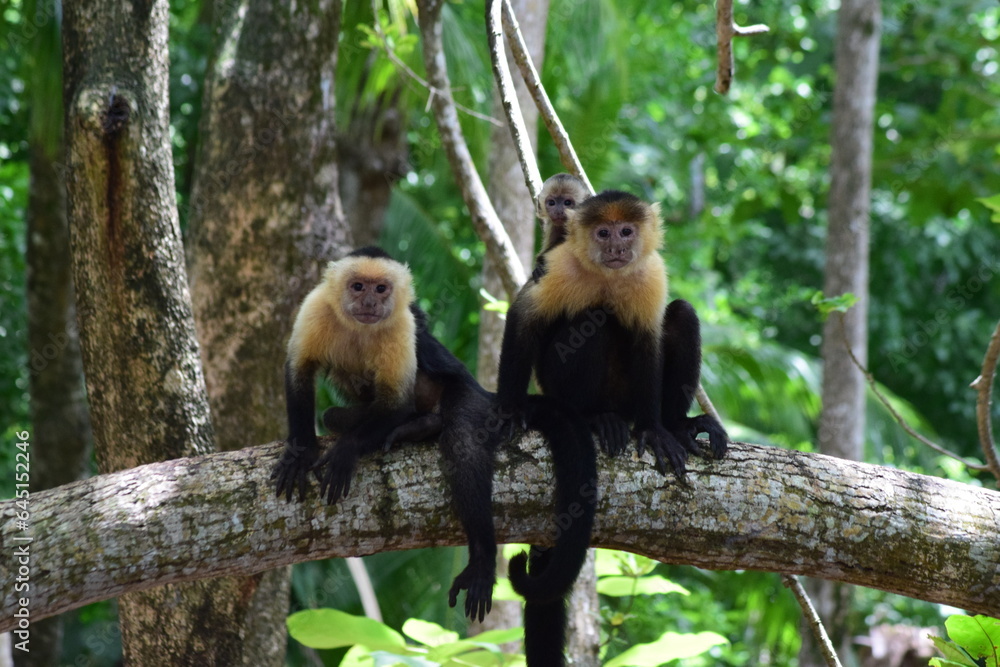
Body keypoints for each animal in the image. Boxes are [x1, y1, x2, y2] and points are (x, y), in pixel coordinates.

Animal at [271, 246, 596, 624]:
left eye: (381, 288)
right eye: (358, 286)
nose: (370, 301)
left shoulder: (402, 324)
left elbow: (396, 402)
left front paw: (345, 452)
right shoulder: (315, 308)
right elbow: (299, 371)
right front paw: (300, 452)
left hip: (468, 398)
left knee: (462, 444)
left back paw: (481, 557)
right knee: (335, 415)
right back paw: (419, 425)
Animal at [495, 190, 727, 667]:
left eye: (626, 231)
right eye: (603, 232)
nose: (617, 246)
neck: (608, 275)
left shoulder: (651, 273)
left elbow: (650, 340)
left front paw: (656, 431)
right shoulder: (559, 265)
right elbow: (524, 320)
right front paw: (509, 410)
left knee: (680, 316)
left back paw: (676, 425)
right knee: (592, 321)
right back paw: (593, 418)